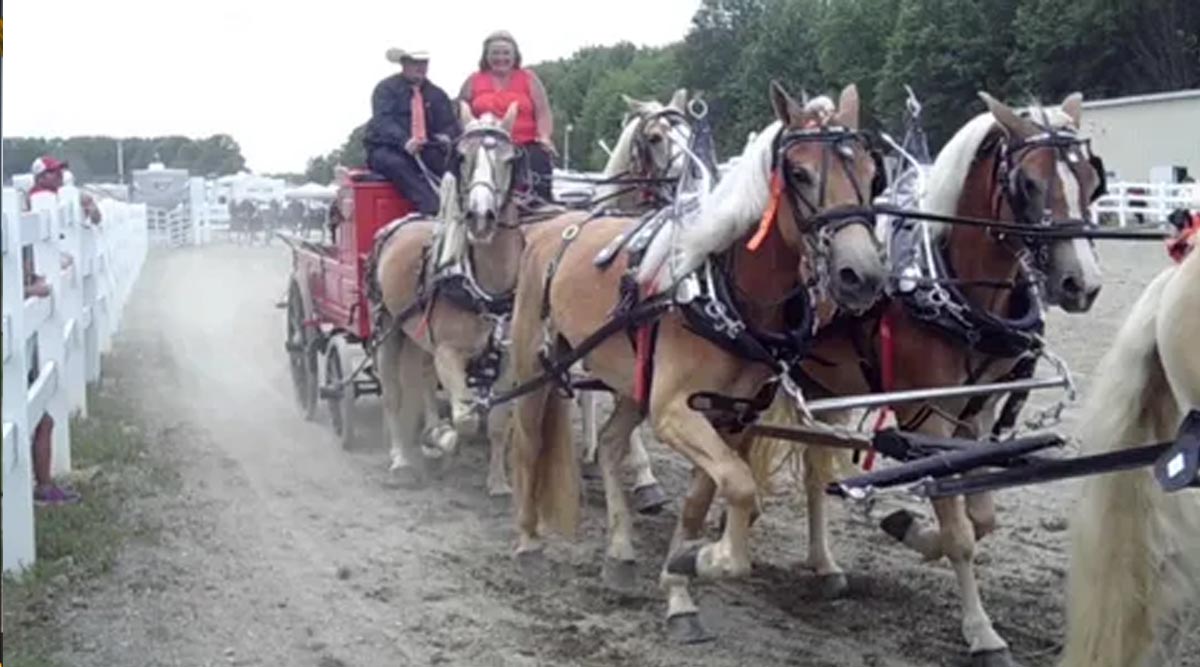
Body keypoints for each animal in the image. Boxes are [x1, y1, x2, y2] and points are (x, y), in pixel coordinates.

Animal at [374, 101, 525, 491]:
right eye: (461, 156)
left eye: (509, 159)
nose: (480, 216)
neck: (484, 289)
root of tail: (403, 222)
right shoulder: (448, 352)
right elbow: (464, 419)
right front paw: (439, 440)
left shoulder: (508, 360)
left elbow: (498, 421)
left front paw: (498, 482)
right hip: (388, 329)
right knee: (393, 394)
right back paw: (401, 458)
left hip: (418, 335)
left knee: (423, 380)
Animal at [506, 82, 892, 643]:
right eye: (798, 173)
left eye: (870, 172)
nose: (860, 274)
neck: (723, 295)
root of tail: (555, 221)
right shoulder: (673, 412)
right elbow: (740, 486)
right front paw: (707, 559)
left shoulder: (728, 416)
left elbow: (704, 499)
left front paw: (682, 578)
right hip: (533, 364)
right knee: (529, 443)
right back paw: (528, 543)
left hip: (631, 382)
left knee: (613, 444)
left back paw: (619, 552)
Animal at [753, 92, 1099, 662]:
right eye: (1028, 183)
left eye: (1092, 179)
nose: (1082, 283)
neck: (948, 284)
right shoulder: (927, 413)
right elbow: (957, 527)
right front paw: (981, 631)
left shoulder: (977, 413)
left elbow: (978, 517)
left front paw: (910, 530)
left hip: (827, 386)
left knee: (814, 471)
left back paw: (824, 564)